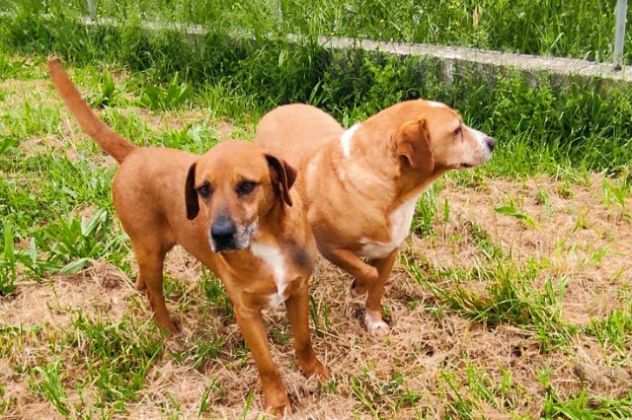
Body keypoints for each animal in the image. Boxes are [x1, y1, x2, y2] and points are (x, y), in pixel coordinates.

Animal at [47, 59, 328, 414]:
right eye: (203, 189)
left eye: (246, 186)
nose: (219, 234)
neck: (267, 239)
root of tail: (134, 154)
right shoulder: (246, 312)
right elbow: (267, 364)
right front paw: (277, 401)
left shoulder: (298, 290)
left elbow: (303, 340)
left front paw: (313, 371)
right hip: (152, 251)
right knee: (156, 297)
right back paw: (168, 330)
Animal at [256, 101, 494, 334]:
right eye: (457, 130)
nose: (492, 142)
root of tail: (280, 108)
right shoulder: (330, 246)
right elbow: (369, 272)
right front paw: (358, 288)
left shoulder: (390, 250)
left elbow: (377, 287)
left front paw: (374, 321)